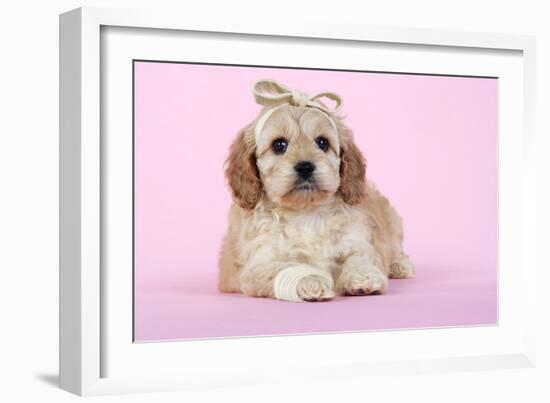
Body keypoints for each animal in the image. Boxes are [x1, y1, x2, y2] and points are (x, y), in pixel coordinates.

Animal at [218, 79, 416, 304]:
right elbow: (290, 266)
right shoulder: (260, 264)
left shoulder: (356, 239)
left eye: (322, 142)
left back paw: (399, 265)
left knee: (395, 247)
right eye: (279, 145)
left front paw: (364, 276)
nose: (305, 167)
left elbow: (360, 256)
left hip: (393, 222)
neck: (306, 212)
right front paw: (312, 280)